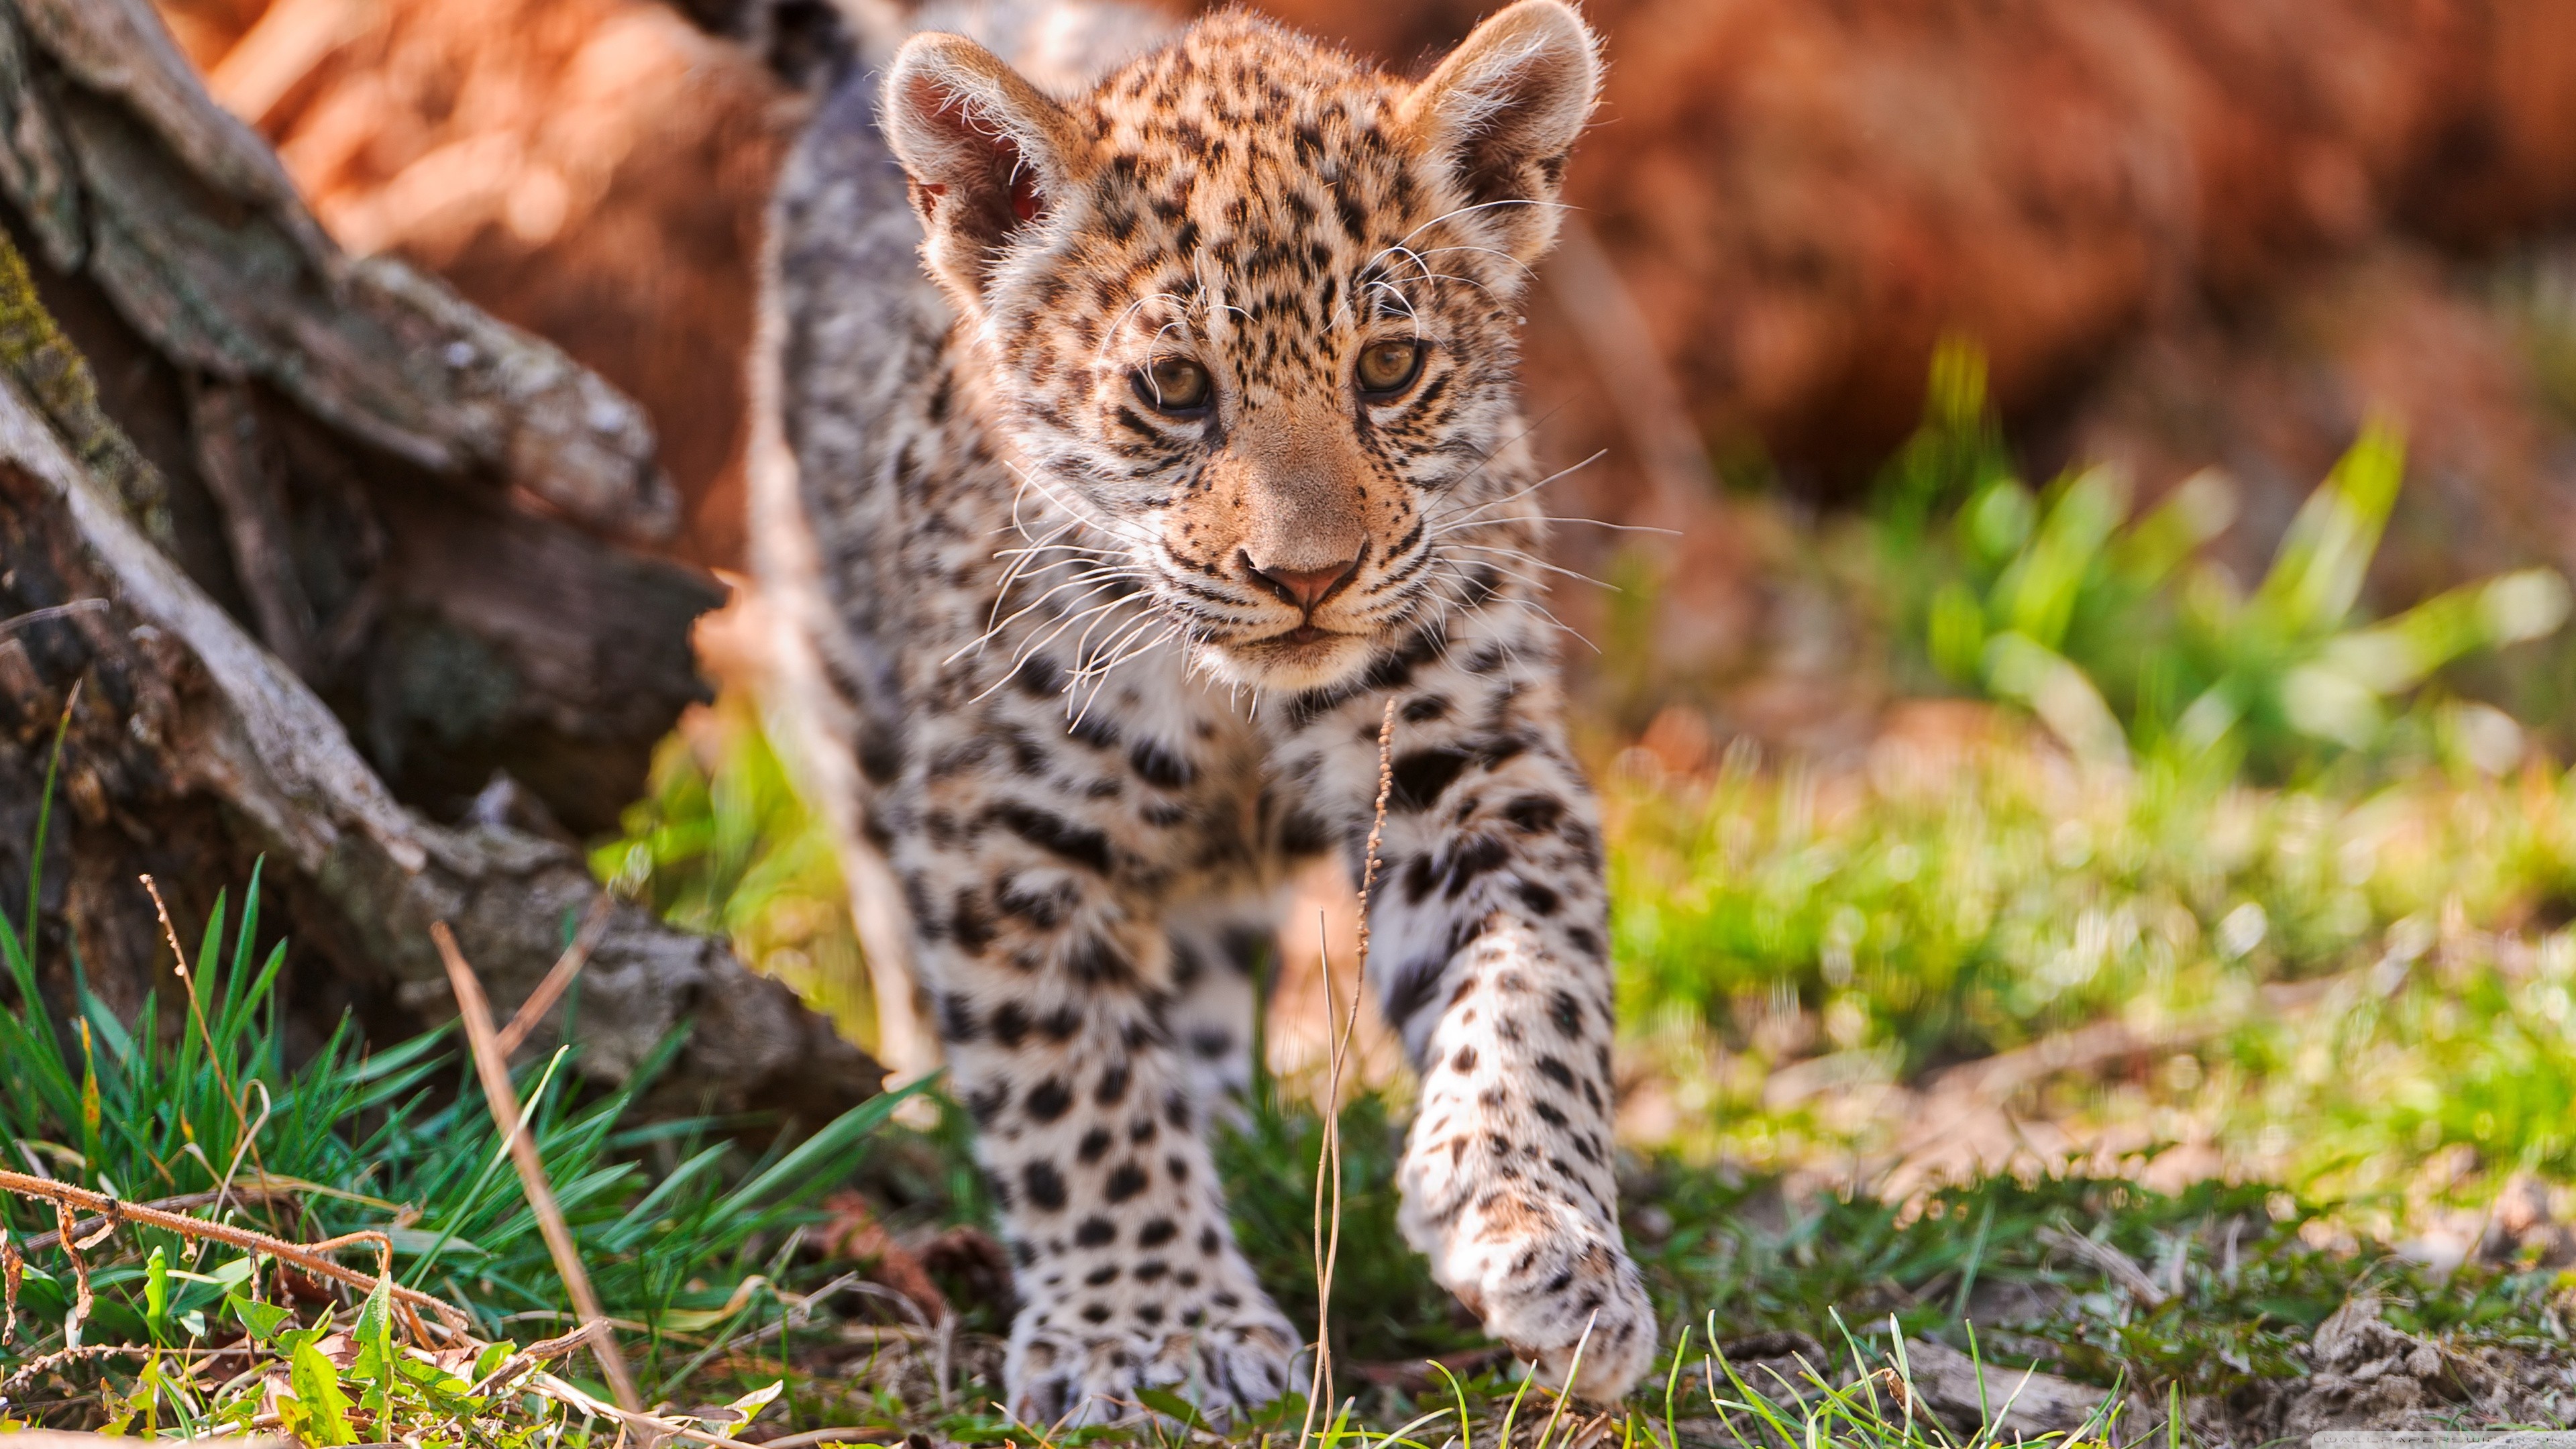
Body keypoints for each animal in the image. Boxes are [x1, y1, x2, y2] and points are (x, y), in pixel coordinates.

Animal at [746, 0, 1654, 1424]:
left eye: (1390, 367)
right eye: (1176, 392)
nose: (1308, 577)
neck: (1233, 699)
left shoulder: (1471, 765)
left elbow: (1530, 993)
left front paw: (1541, 1232)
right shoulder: (1008, 830)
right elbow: (1074, 1085)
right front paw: (1152, 1330)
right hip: (833, 661)